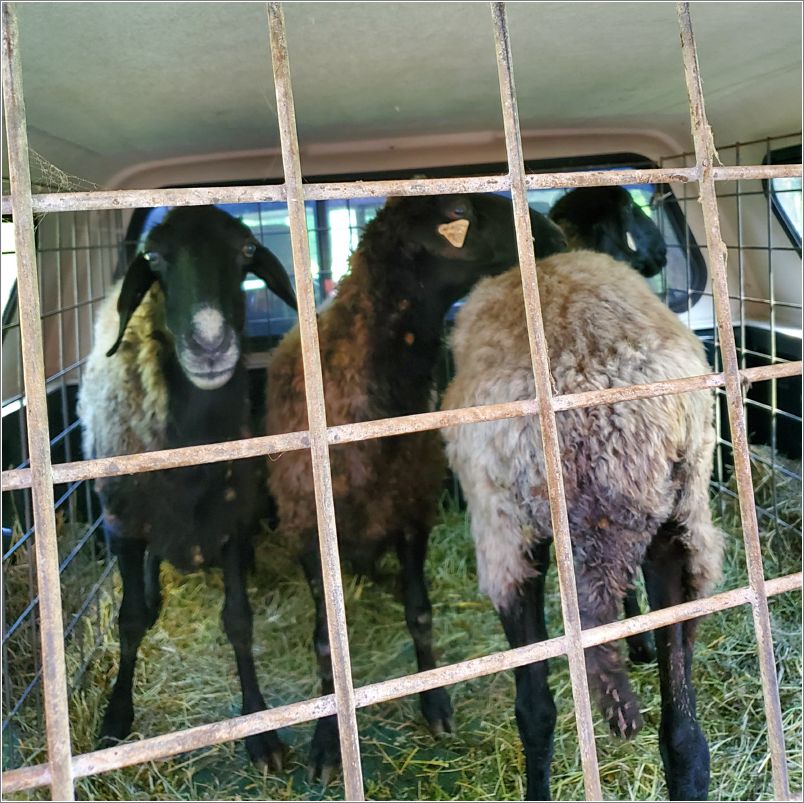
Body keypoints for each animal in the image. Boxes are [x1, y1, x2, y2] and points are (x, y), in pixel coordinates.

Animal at [77, 204, 296, 768]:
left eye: (247, 251)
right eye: (153, 258)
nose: (211, 344)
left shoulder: (233, 518)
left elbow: (238, 620)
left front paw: (260, 725)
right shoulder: (123, 524)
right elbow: (129, 620)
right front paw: (116, 716)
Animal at [264, 193, 564, 780]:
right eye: (458, 211)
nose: (553, 233)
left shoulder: (412, 514)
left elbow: (420, 613)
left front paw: (435, 704)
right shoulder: (309, 531)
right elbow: (324, 644)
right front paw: (326, 744)